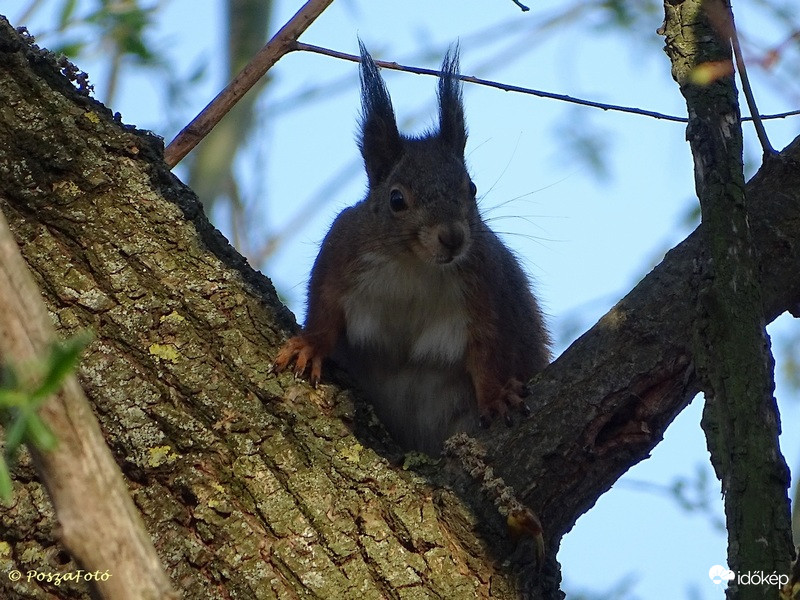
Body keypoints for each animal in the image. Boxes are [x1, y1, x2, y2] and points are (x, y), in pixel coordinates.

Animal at [276, 43, 552, 454]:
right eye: (396, 200)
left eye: (471, 188)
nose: (453, 237)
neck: (414, 265)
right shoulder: (339, 255)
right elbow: (324, 311)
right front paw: (309, 345)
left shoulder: (487, 291)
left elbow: (491, 353)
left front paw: (497, 395)